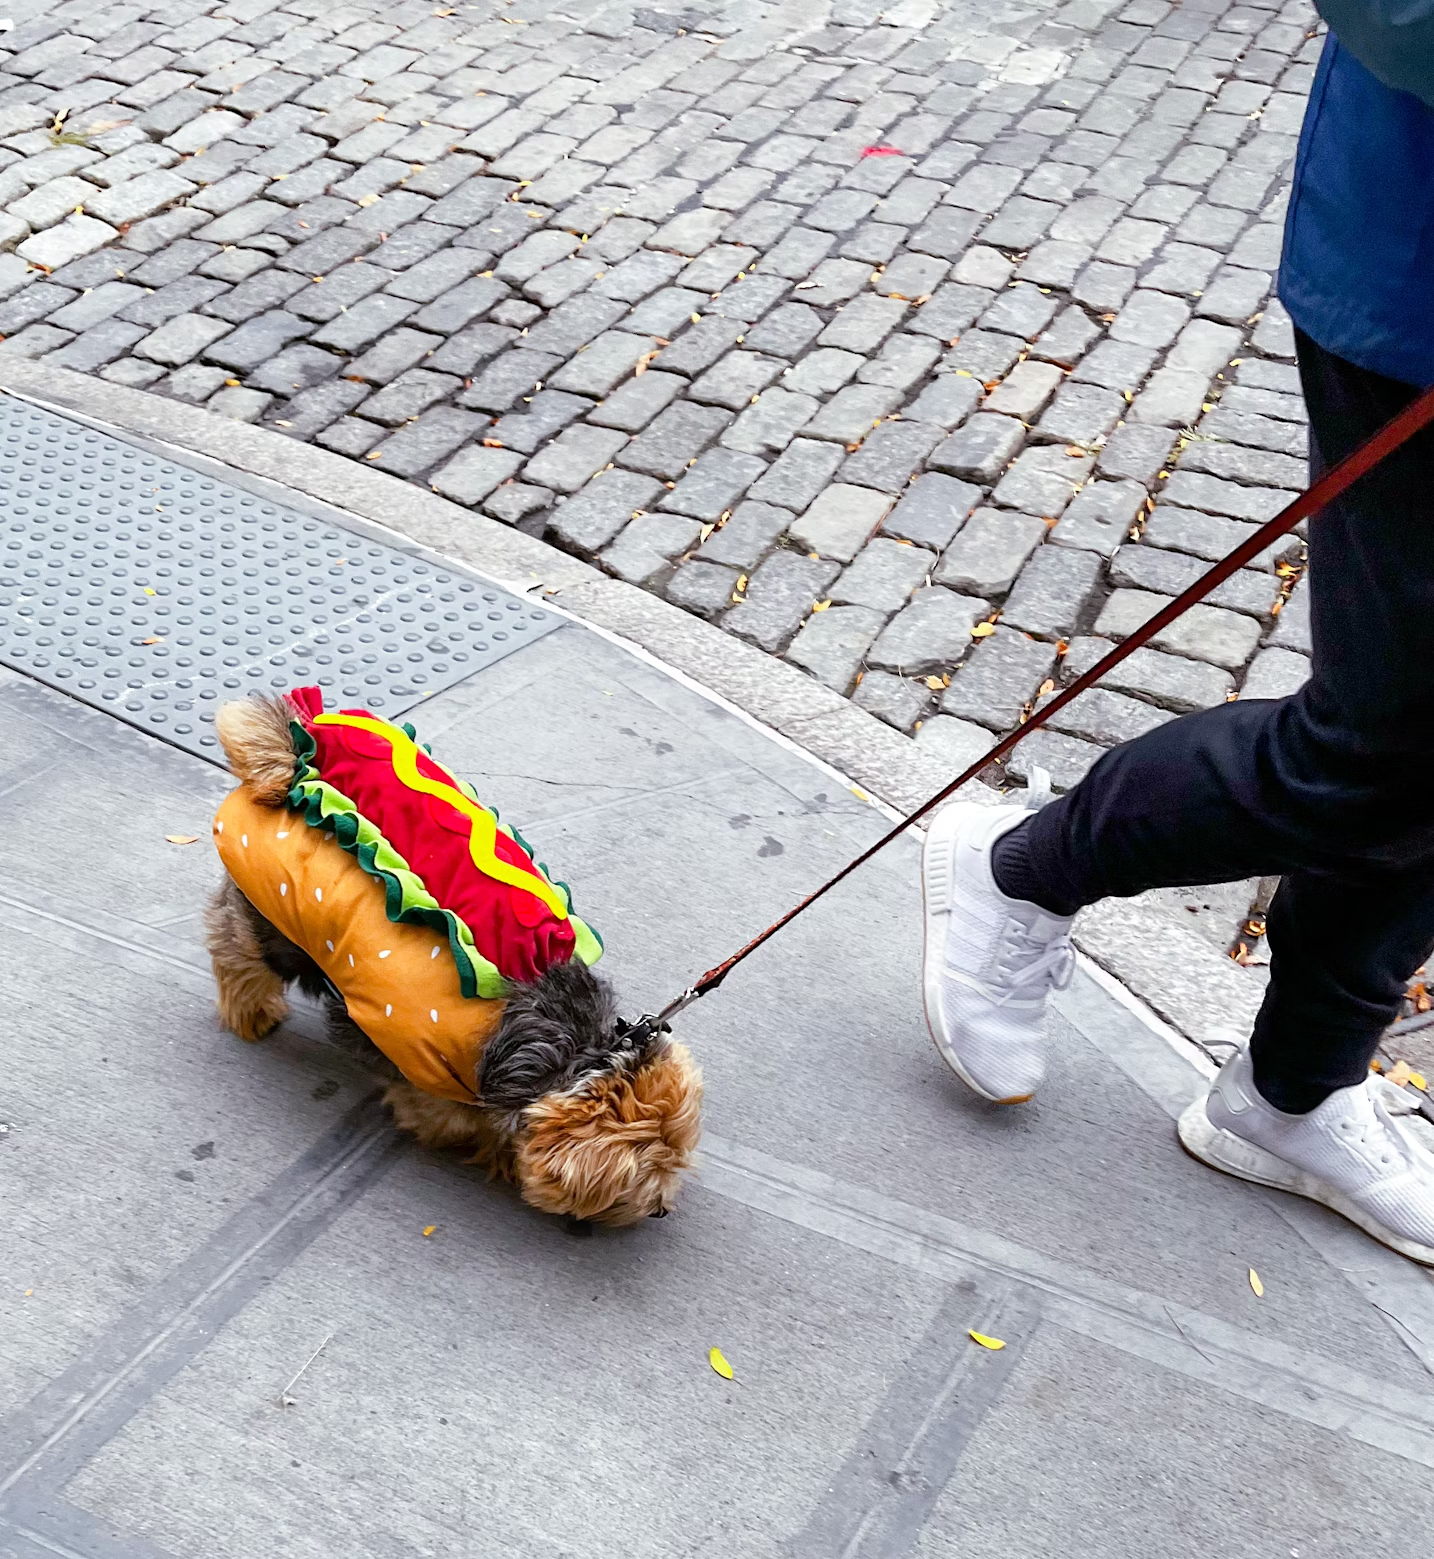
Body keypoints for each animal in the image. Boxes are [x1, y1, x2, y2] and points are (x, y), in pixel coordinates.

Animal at [202, 689, 701, 1222]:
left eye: (676, 1155)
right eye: (646, 1172)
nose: (661, 1210)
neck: (571, 1057)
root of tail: (297, 756)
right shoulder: (428, 1071)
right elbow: (451, 1117)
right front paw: (491, 1149)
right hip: (272, 924)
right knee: (236, 952)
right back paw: (252, 1012)